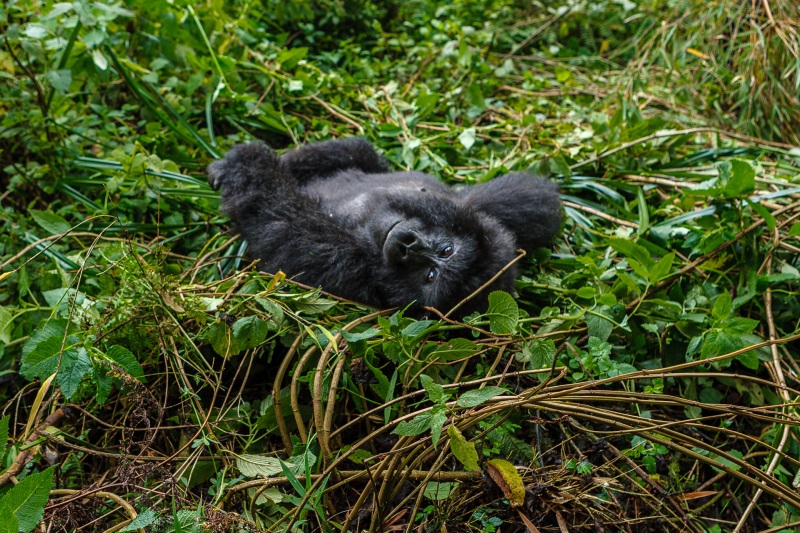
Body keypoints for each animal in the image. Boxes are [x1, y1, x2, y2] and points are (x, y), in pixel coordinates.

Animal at [208, 137, 564, 316]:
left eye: (429, 277)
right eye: (446, 250)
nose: (408, 245)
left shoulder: (346, 267)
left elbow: (280, 218)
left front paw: (247, 161)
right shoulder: (476, 207)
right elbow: (538, 200)